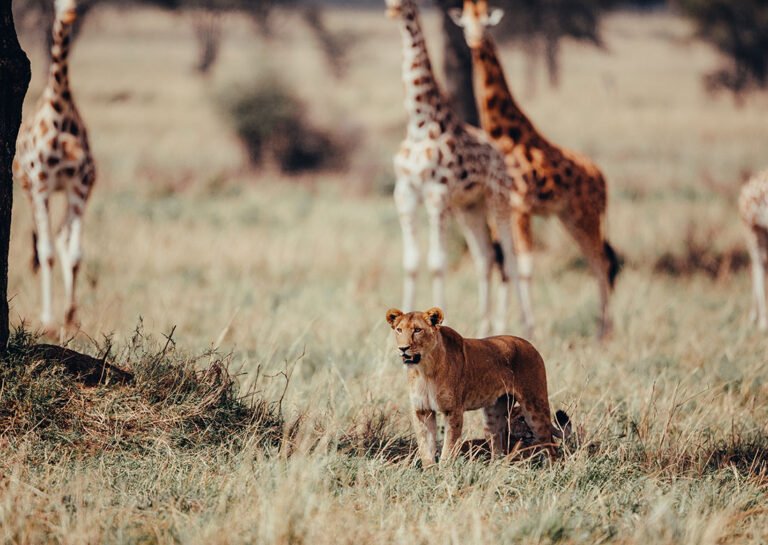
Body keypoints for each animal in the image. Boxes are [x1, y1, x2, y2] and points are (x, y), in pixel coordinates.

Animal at [385, 306, 570, 466]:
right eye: (399, 330)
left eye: (417, 330)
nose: (403, 348)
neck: (424, 369)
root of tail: (530, 344)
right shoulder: (422, 411)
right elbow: (425, 447)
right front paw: (430, 473)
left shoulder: (453, 411)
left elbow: (448, 448)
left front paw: (443, 473)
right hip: (493, 415)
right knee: (498, 446)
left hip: (534, 407)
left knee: (551, 444)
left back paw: (552, 472)